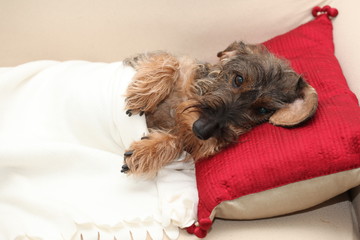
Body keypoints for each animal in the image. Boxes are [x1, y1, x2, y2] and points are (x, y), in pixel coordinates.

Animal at [119, 40, 316, 176]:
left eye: (263, 110)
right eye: (238, 79)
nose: (201, 130)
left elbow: (178, 140)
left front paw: (145, 152)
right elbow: (172, 61)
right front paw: (142, 96)